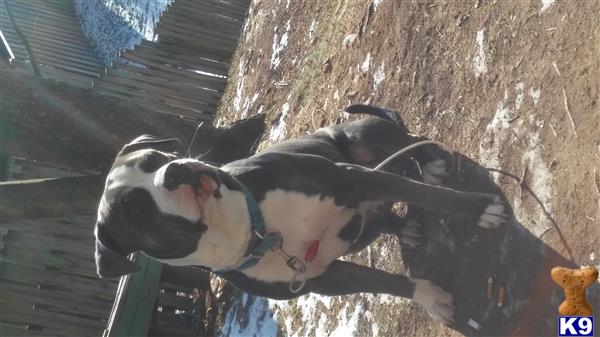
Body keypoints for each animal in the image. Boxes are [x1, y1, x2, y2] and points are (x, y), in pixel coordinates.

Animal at [95, 105, 506, 322]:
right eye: (134, 209)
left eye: (153, 158)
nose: (174, 170)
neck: (253, 230)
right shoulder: (323, 279)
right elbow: (382, 282)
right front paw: (429, 297)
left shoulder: (352, 180)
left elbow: (430, 195)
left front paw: (481, 209)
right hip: (359, 229)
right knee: (381, 212)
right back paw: (403, 227)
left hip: (361, 139)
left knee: (410, 142)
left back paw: (431, 161)